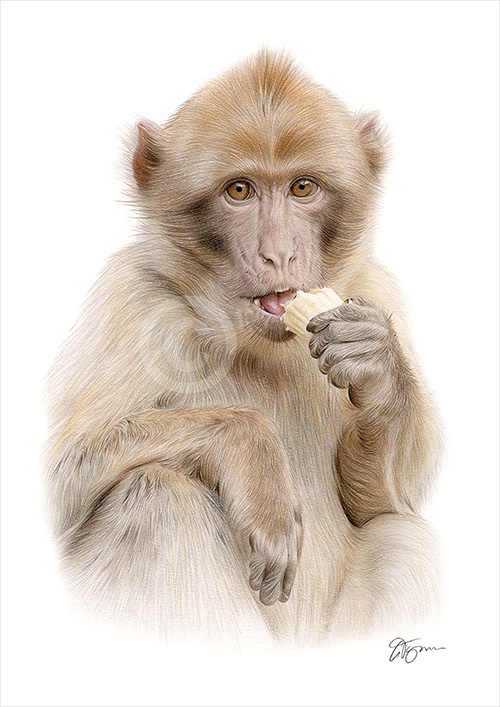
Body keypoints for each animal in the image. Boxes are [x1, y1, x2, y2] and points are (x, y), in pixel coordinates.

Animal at [44, 50, 441, 647]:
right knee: (158, 498)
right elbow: (63, 478)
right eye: (239, 191)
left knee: (405, 540)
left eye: (302, 188)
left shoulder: (372, 289)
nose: (278, 254)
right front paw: (254, 457)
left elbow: (381, 502)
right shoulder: (134, 304)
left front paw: (377, 364)